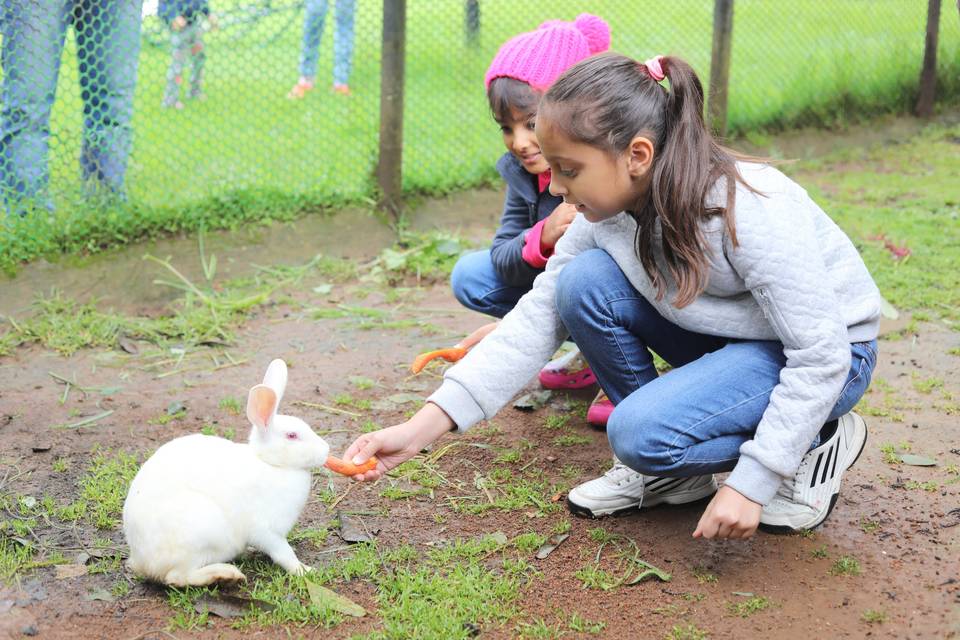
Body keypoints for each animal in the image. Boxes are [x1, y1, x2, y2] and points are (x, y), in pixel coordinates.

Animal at [122, 360, 332, 584]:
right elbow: (285, 554)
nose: (326, 450)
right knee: (177, 576)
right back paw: (226, 575)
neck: (270, 464)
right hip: (201, 531)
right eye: (292, 436)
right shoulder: (268, 531)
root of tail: (141, 560)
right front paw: (306, 571)